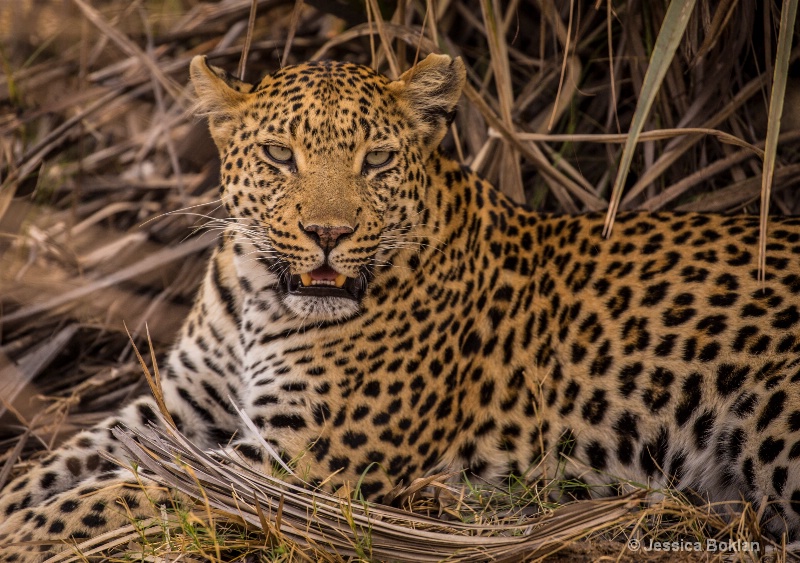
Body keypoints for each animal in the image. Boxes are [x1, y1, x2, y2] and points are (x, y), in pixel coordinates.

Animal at [1, 51, 800, 560]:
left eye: (377, 159)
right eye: (280, 155)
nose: (328, 234)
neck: (260, 297)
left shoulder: (298, 461)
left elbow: (118, 494)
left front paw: (22, 538)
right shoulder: (176, 406)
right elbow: (57, 467)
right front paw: (16, 507)